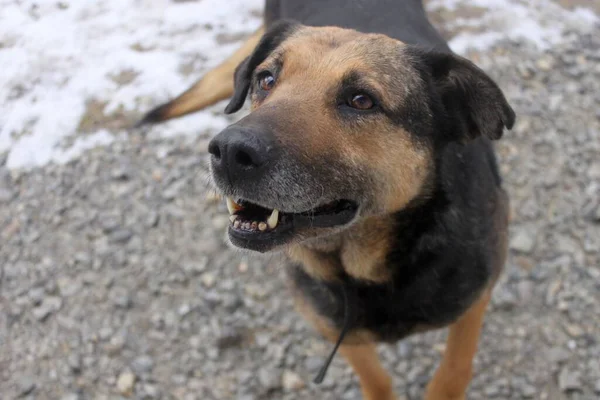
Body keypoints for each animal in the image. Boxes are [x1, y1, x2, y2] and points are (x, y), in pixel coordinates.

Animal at [138, 1, 512, 398]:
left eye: (361, 100)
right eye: (266, 79)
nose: (228, 152)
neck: (366, 267)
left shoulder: (476, 298)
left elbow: (454, 368)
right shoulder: (337, 329)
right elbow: (375, 379)